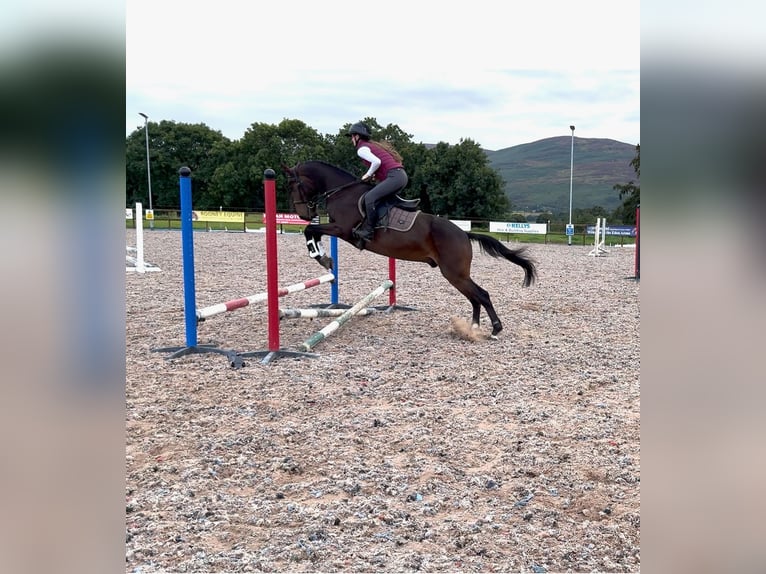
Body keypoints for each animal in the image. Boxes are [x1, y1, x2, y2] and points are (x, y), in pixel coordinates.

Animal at [282, 160, 537, 338]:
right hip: (456, 275)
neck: (342, 191)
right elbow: (312, 231)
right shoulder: (337, 228)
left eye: (292, 185)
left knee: (481, 294)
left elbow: (310, 231)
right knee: (475, 297)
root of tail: (463, 233)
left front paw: (321, 257)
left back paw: (495, 329)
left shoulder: (341, 229)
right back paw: (472, 328)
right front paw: (323, 257)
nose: (303, 213)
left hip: (454, 273)